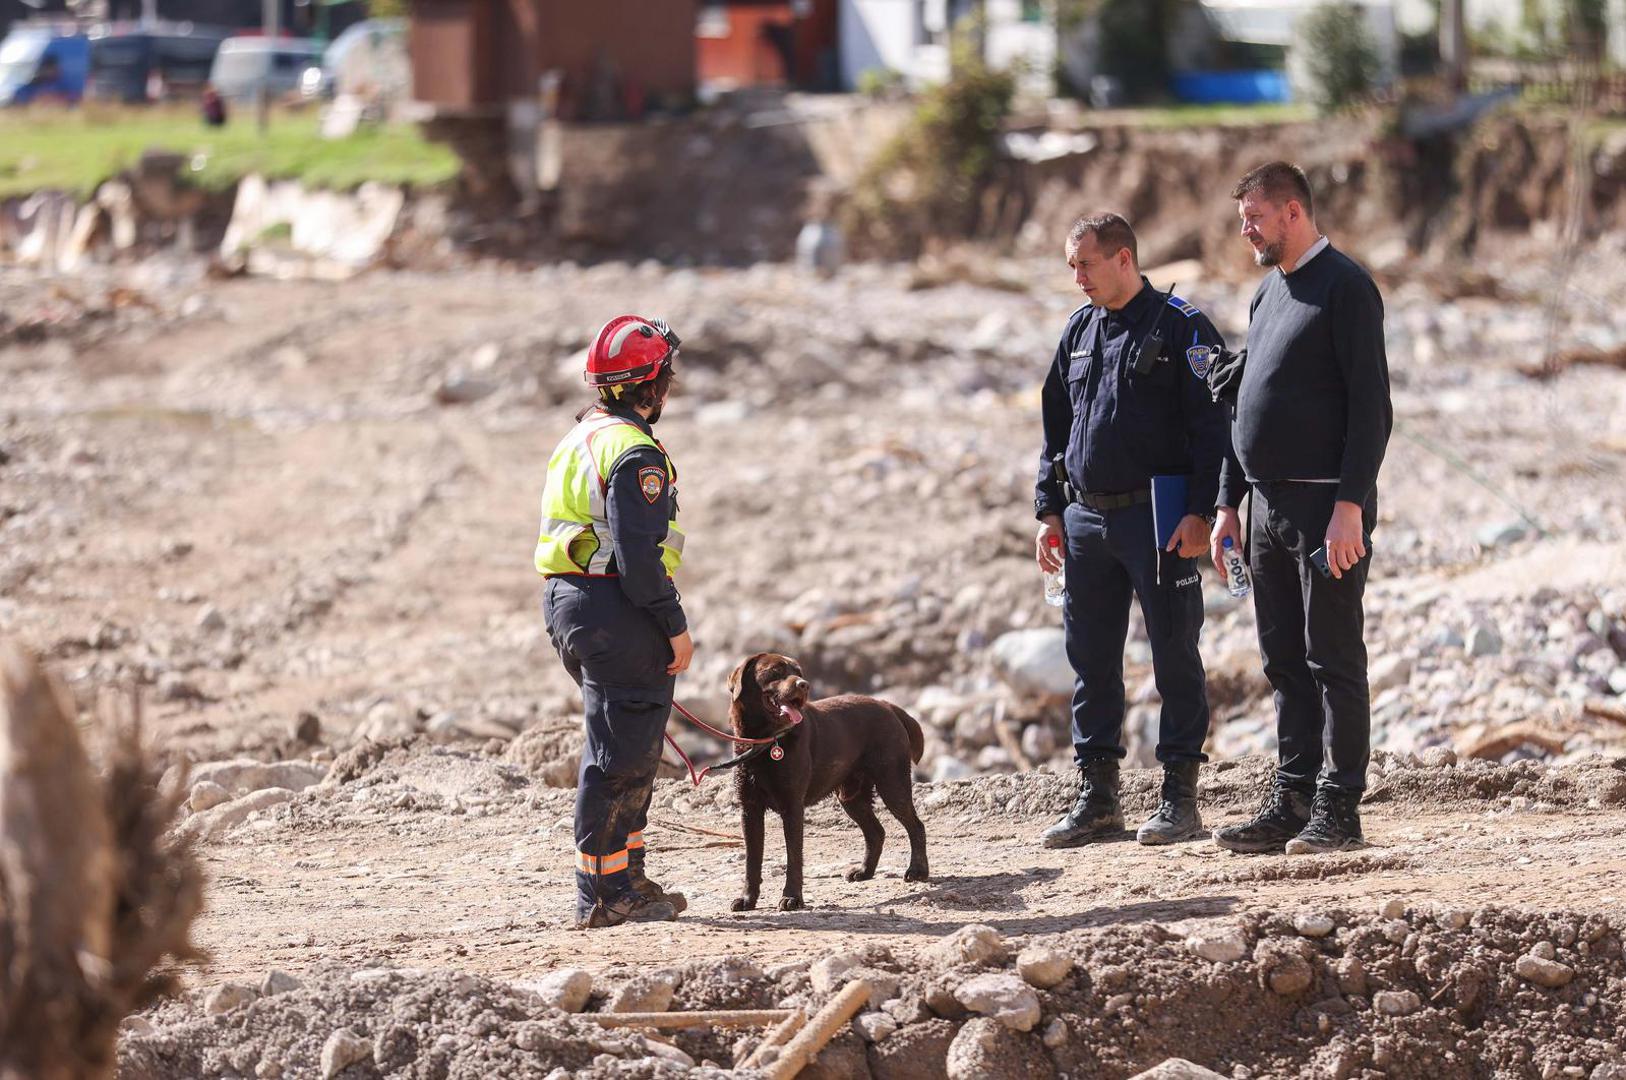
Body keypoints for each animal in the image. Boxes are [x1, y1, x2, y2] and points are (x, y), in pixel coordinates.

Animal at [728, 650, 930, 910]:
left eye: (799, 672)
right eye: (775, 671)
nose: (804, 685)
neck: (765, 741)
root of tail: (888, 706)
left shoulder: (792, 808)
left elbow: (794, 857)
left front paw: (792, 897)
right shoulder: (750, 809)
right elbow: (752, 862)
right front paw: (747, 899)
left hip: (893, 785)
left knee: (916, 826)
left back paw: (917, 871)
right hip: (851, 797)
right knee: (876, 832)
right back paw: (864, 871)